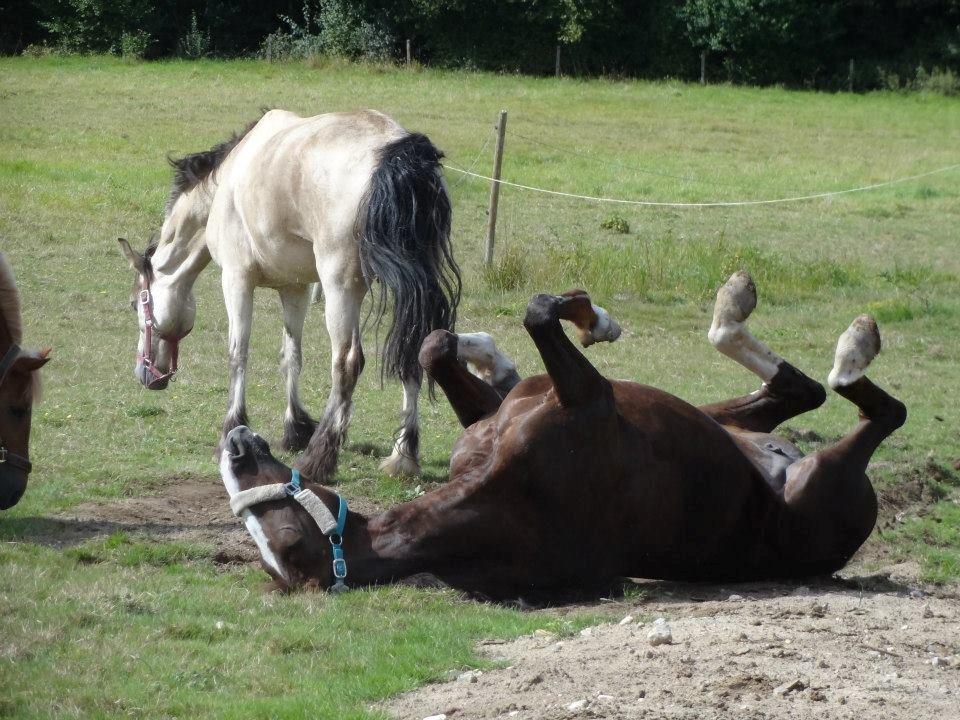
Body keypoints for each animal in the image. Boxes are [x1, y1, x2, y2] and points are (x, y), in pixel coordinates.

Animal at [120, 109, 462, 480]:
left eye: (137, 305)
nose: (146, 375)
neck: (227, 181)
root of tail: (398, 151)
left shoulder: (237, 281)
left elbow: (238, 354)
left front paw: (231, 430)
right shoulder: (295, 288)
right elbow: (291, 356)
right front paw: (295, 429)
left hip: (341, 287)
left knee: (347, 363)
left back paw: (319, 458)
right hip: (406, 290)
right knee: (412, 350)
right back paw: (402, 456)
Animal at [221, 272, 904, 596]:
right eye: (286, 542)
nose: (236, 446)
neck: (497, 497)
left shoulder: (508, 413)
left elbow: (436, 343)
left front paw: (499, 356)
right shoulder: (592, 398)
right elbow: (537, 313)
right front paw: (591, 318)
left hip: (724, 417)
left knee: (801, 391)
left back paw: (739, 308)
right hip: (827, 476)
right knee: (872, 408)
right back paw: (849, 349)